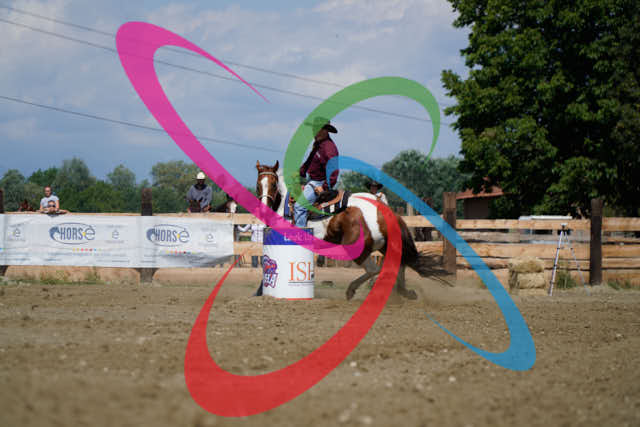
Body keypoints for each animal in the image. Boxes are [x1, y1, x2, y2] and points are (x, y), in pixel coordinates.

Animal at [255, 160, 448, 300]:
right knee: (398, 262)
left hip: (357, 247)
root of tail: (383, 208)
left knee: (374, 269)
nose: (263, 206)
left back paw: (353, 291)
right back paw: (403, 292)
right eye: (258, 185)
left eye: (273, 184)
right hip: (384, 245)